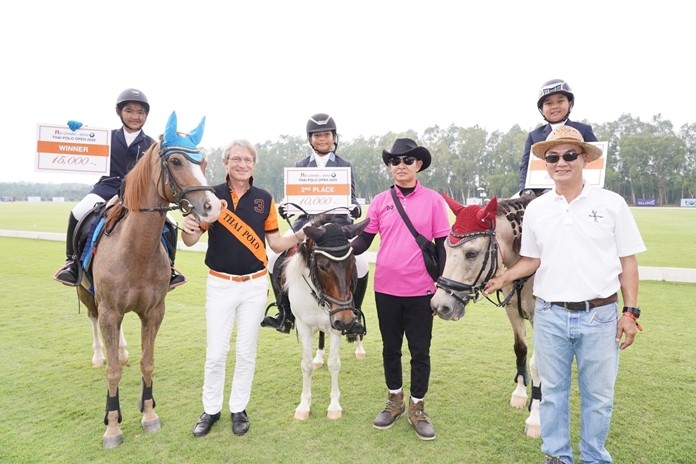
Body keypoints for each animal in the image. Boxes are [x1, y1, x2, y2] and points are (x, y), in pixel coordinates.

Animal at [75, 111, 220, 446]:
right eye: (176, 161)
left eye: (204, 162)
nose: (213, 207)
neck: (136, 249)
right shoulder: (110, 311)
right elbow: (113, 372)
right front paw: (112, 426)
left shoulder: (154, 312)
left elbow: (148, 361)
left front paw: (149, 413)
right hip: (87, 295)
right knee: (92, 320)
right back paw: (99, 356)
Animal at [282, 217, 370, 420]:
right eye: (322, 266)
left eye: (352, 263)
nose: (345, 320)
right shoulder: (304, 326)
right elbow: (306, 365)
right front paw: (303, 407)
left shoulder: (335, 327)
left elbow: (334, 364)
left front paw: (334, 406)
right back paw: (319, 358)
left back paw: (359, 348)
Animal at [430, 196, 544, 438]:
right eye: (445, 248)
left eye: (471, 253)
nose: (440, 306)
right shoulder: (512, 310)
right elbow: (520, 350)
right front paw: (520, 394)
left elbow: (538, 364)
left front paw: (536, 418)